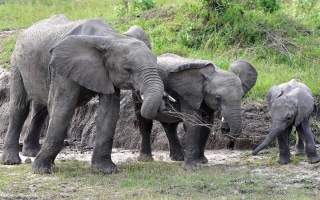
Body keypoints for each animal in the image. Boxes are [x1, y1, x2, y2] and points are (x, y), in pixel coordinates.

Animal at [0, 14, 165, 174]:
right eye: (128, 69)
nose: (162, 105)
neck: (110, 38)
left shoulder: (106, 73)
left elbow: (109, 113)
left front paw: (105, 170)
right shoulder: (62, 69)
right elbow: (63, 109)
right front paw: (41, 170)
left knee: (41, 109)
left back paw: (32, 153)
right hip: (16, 64)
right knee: (20, 108)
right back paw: (11, 161)